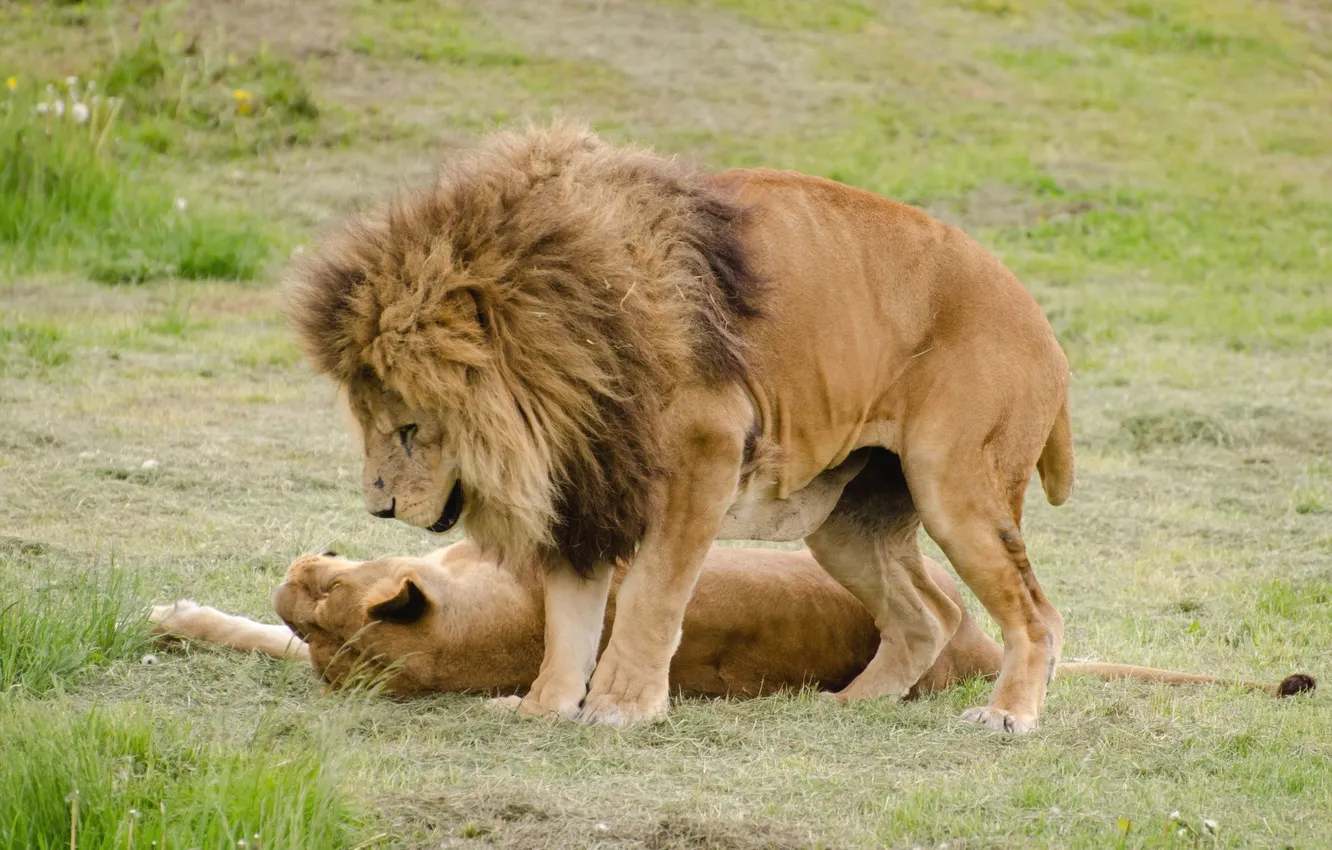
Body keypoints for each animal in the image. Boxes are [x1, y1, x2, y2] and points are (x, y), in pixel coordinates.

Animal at [286, 121, 1079, 732]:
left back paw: (1007, 715)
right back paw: (850, 703)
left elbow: (650, 595)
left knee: (1039, 615)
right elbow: (568, 618)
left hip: (954, 484)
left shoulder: (704, 454)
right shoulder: (588, 483)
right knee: (928, 616)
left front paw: (620, 706)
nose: (378, 508)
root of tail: (1045, 328)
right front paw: (544, 707)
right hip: (850, 524)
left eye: (410, 429)